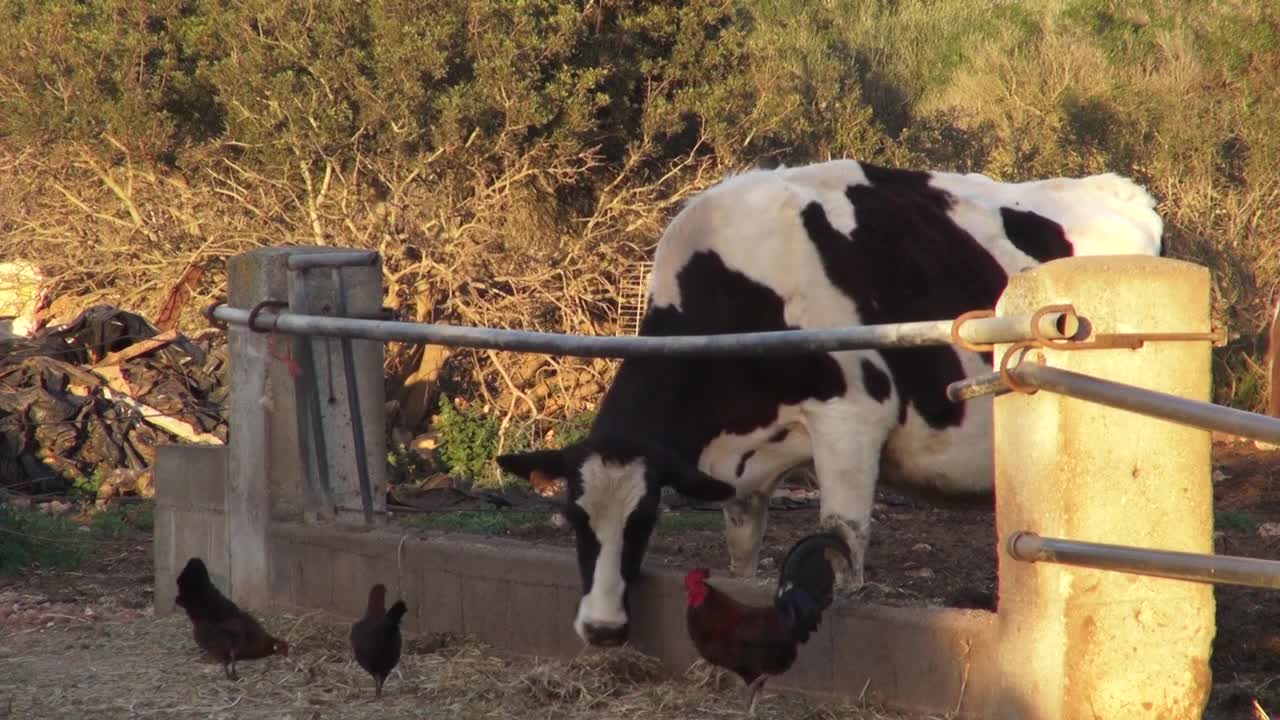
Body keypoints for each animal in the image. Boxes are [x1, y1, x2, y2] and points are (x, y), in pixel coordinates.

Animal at [494, 158, 1167, 645]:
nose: (602, 628)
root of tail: (1123, 191)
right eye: (574, 517)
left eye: (645, 518)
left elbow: (844, 535)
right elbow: (742, 551)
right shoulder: (744, 468)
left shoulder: (851, 421)